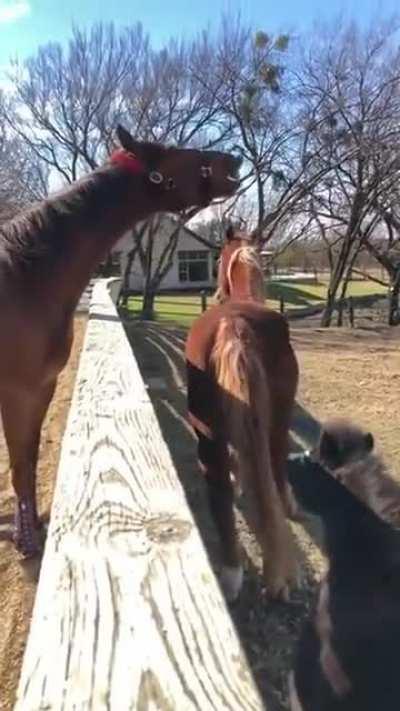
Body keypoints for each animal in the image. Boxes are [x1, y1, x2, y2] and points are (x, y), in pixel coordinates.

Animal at [0, 123, 241, 558]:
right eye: (173, 152)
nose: (232, 160)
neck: (25, 280)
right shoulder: (15, 392)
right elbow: (20, 464)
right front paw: (26, 540)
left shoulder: (42, 388)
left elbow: (28, 457)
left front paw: (33, 531)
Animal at [185, 226, 299, 602]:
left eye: (217, 259)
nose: (216, 291)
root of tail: (233, 325)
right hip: (276, 419)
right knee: (272, 463)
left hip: (208, 433)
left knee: (219, 487)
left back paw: (231, 574)